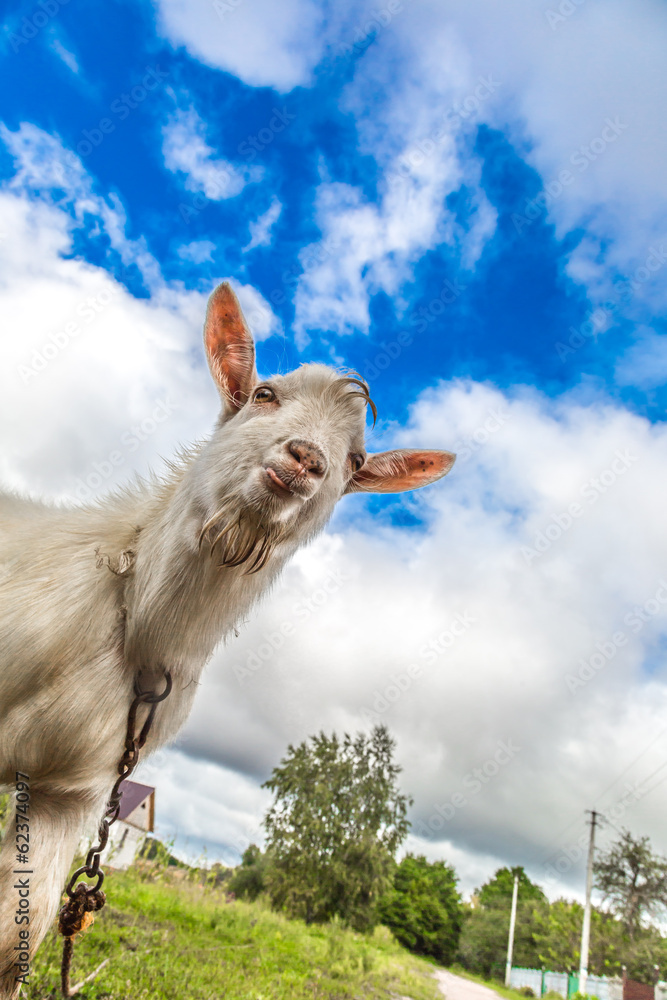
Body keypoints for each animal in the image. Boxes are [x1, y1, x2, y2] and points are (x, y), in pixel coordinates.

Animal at [0, 282, 455, 996]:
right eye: (264, 393)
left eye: (356, 462)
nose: (306, 459)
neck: (139, 624)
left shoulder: (69, 793)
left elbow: (14, 938)